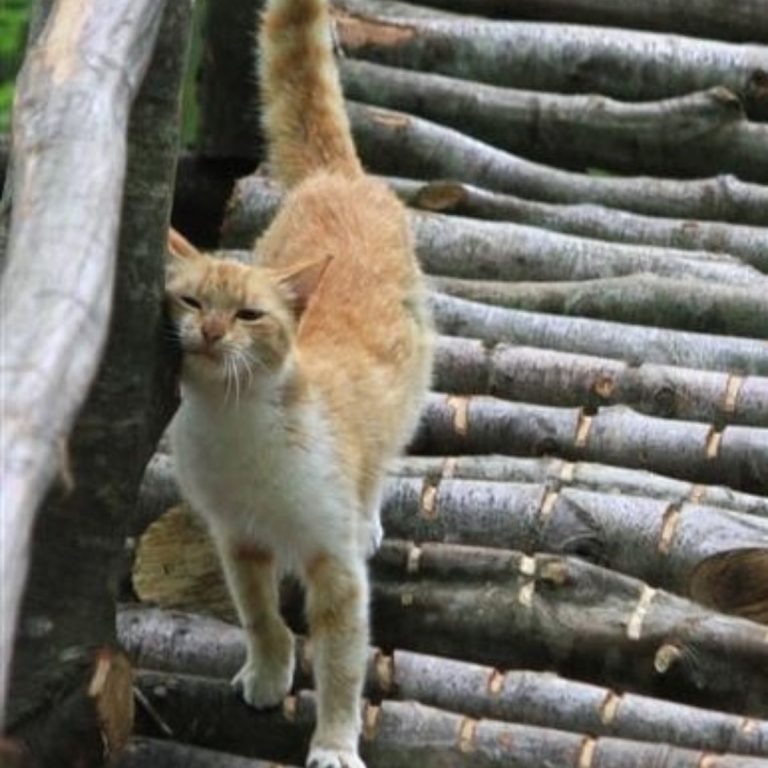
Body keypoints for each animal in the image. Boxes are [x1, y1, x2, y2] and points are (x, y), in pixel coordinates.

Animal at [165, 0, 436, 760]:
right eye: (191, 302)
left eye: (249, 314)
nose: (212, 332)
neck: (236, 424)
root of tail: (335, 178)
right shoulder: (237, 539)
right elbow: (258, 614)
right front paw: (266, 671)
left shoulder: (333, 563)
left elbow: (342, 663)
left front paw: (336, 745)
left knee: (383, 460)